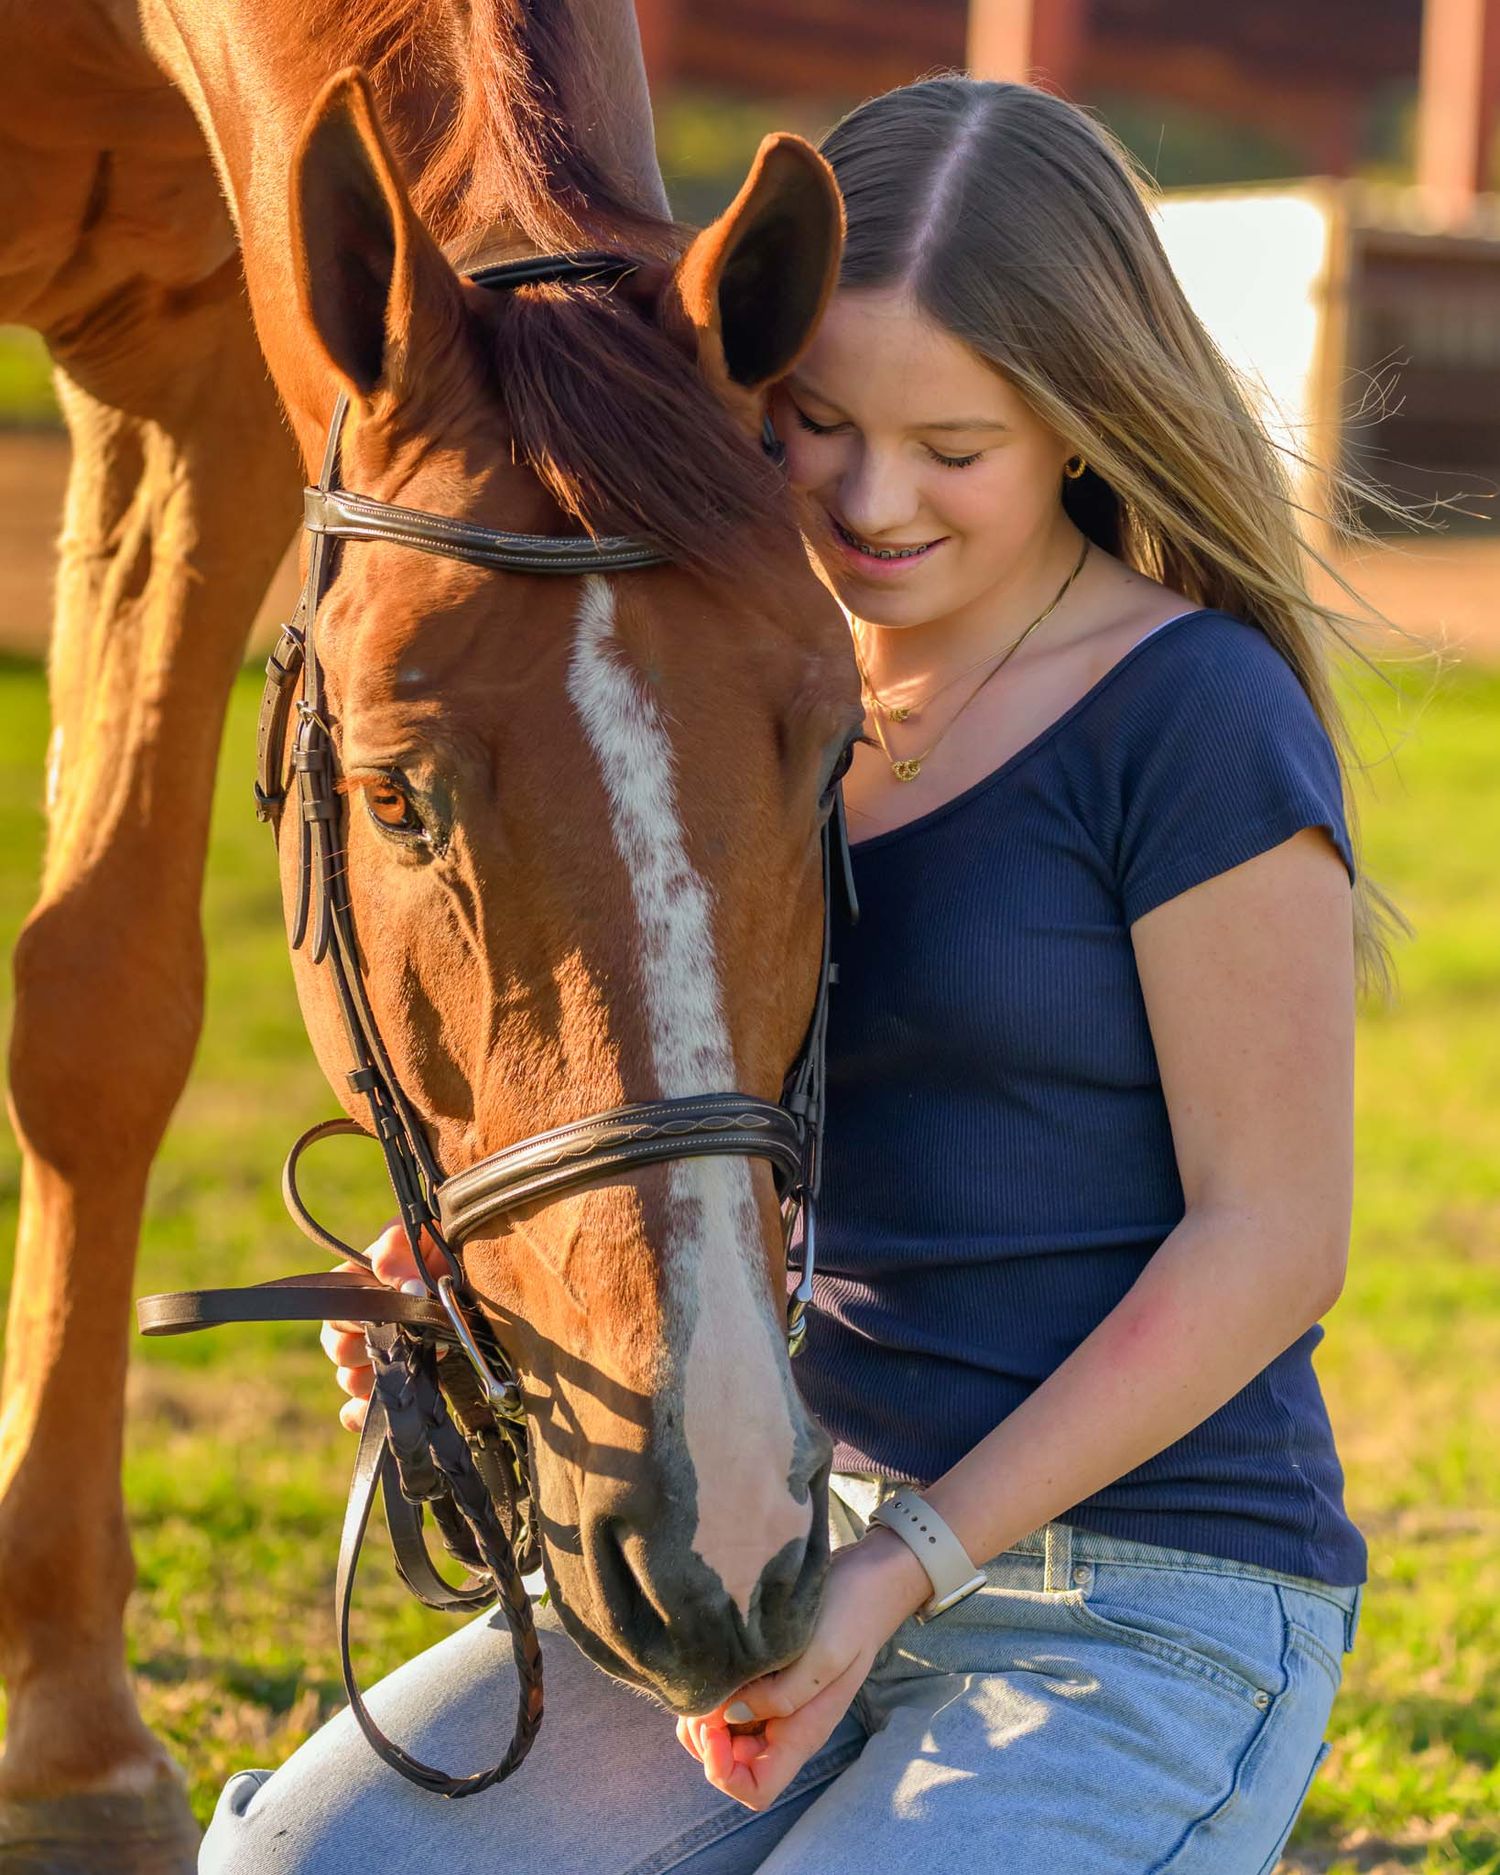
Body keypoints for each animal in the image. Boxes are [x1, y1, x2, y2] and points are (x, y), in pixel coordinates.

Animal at [0, 2, 856, 1864]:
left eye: (838, 741)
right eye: (395, 796)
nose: (724, 1534)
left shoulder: (195, 359)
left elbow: (101, 1018)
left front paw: (64, 1724)